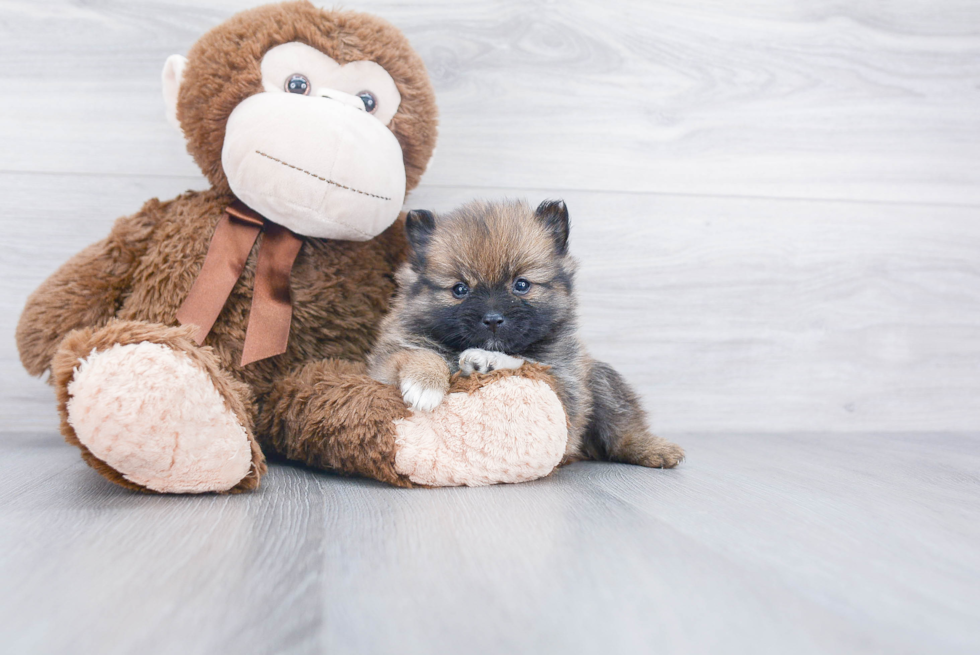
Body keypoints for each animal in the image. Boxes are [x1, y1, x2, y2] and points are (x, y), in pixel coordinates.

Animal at [368, 197, 680, 468]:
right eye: (459, 289)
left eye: (521, 285)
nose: (493, 319)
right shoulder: (386, 362)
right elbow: (417, 353)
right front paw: (426, 382)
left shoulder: (565, 391)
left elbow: (526, 364)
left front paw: (487, 360)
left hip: (602, 380)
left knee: (623, 427)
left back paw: (654, 449)